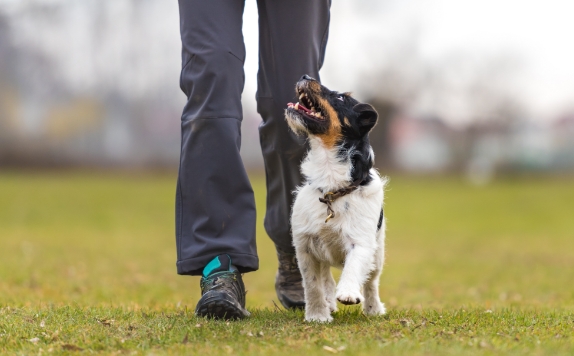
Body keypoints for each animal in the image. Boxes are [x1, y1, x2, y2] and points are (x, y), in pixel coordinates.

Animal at [286, 74, 390, 322]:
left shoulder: (361, 242)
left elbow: (354, 267)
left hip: (378, 253)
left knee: (371, 282)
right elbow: (313, 285)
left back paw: (373, 309)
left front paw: (349, 293)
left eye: (341, 97)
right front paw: (317, 315)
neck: (332, 187)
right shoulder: (304, 246)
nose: (305, 76)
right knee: (326, 277)